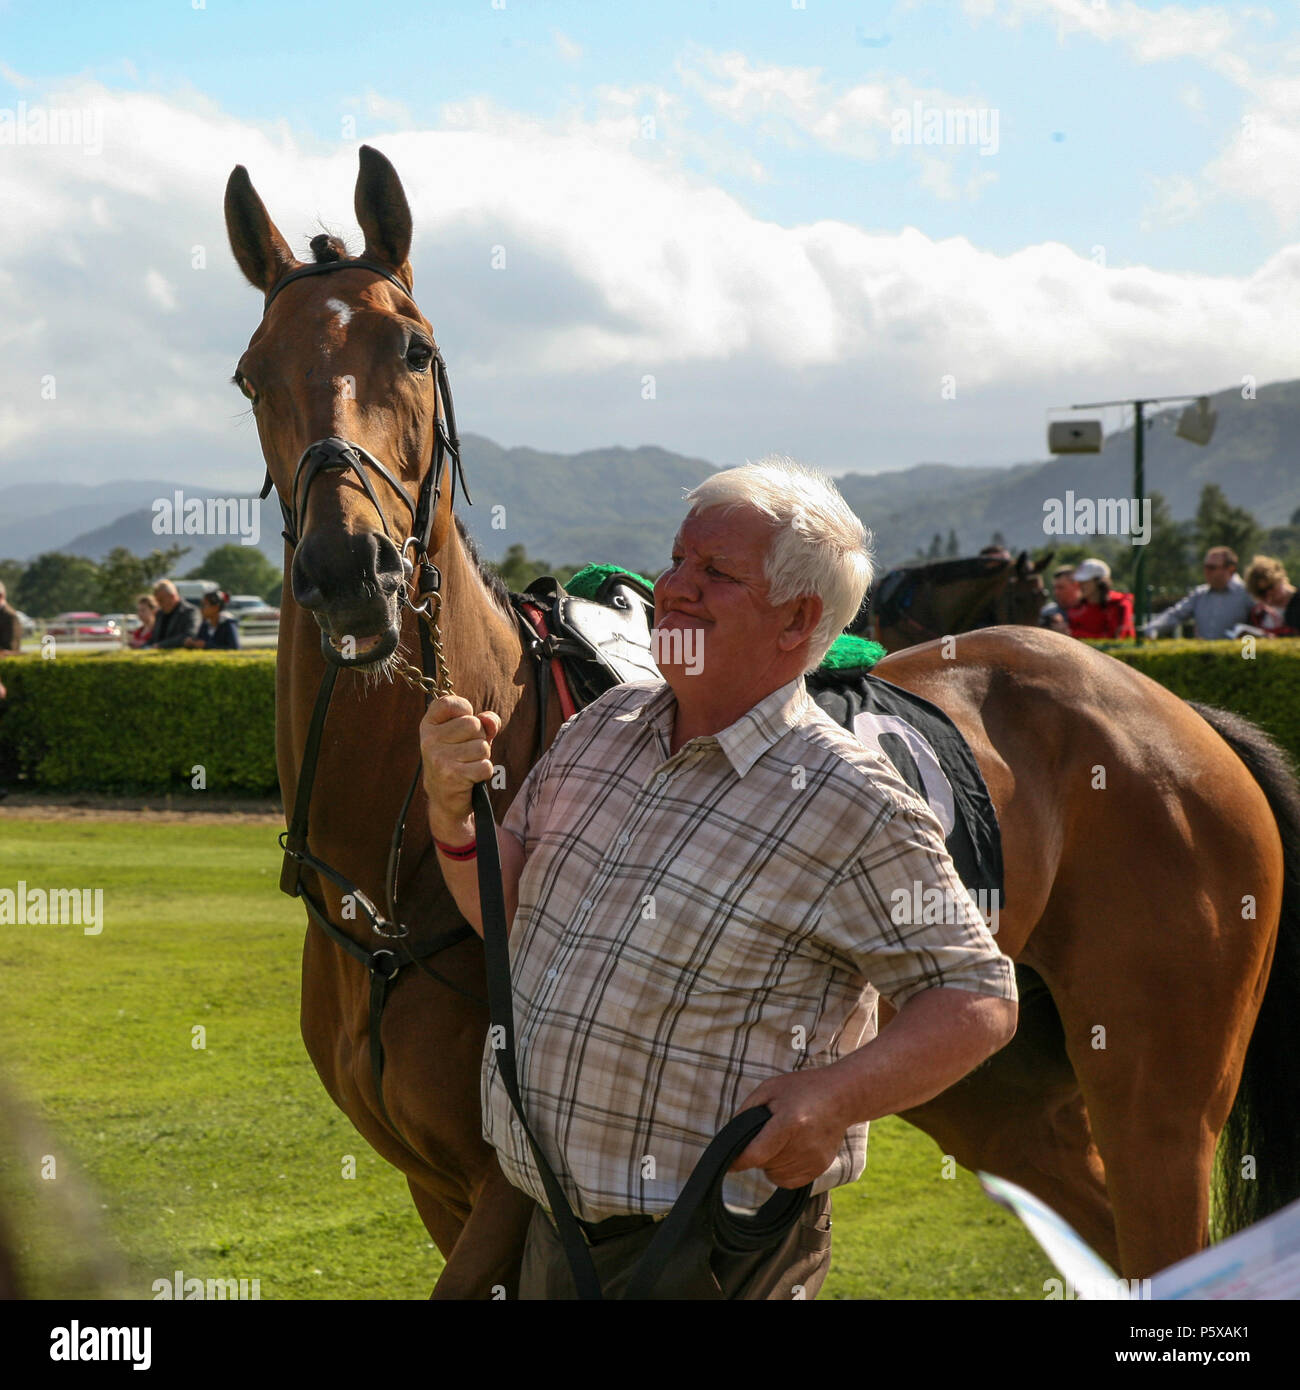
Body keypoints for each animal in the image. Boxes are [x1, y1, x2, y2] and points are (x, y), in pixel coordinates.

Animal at [229, 143, 1295, 1289]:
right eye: (252, 374)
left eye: (416, 349)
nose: (351, 570)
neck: (385, 899)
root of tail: (1182, 720)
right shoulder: (440, 1187)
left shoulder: (507, 1185)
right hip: (998, 1090)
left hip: (1159, 1100)